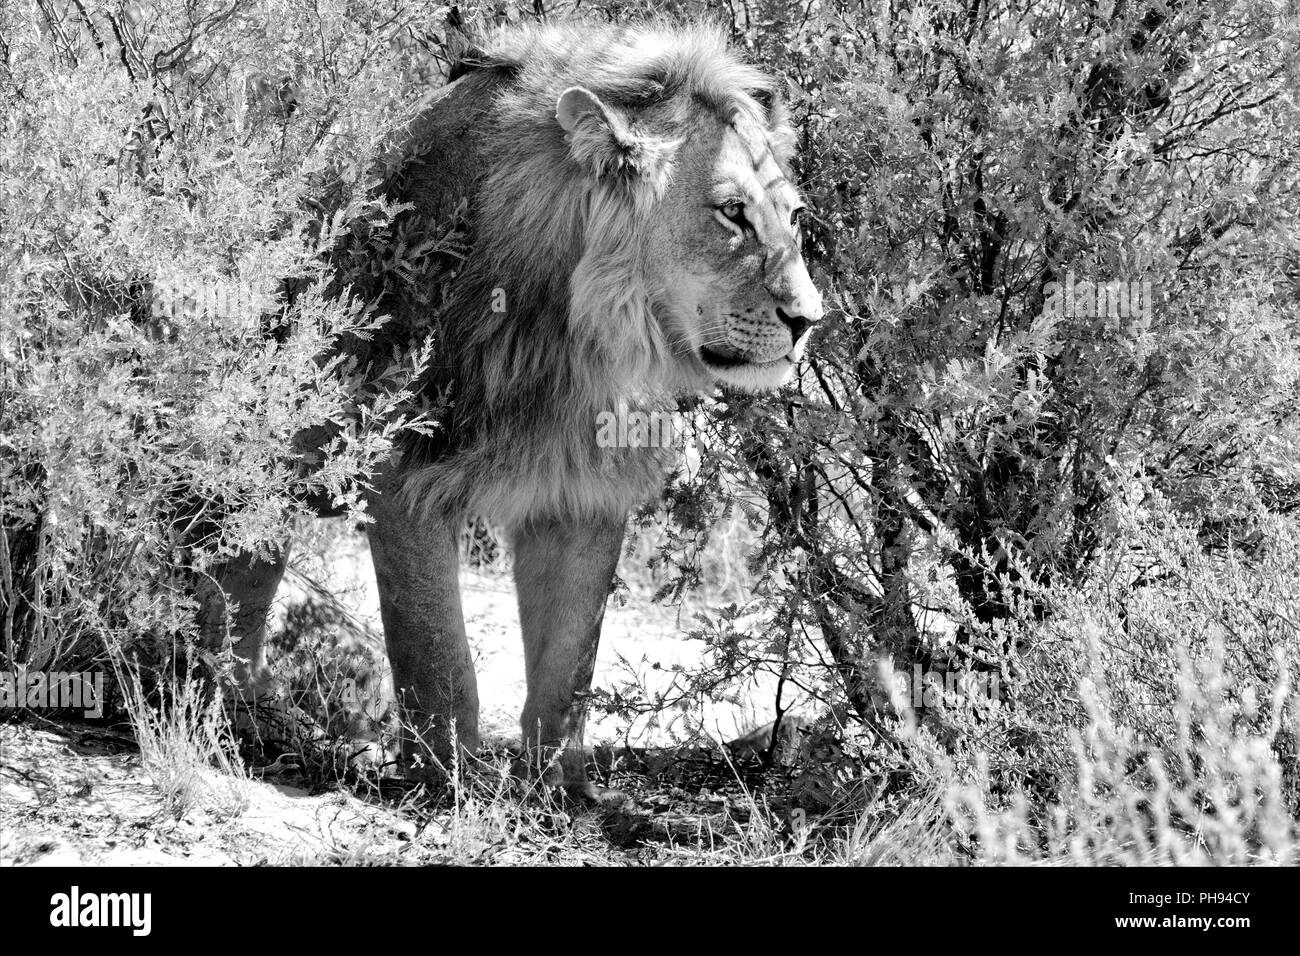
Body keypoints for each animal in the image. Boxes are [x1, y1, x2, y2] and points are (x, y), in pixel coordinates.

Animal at [196, 18, 821, 806]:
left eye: (793, 215)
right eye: (732, 213)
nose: (810, 319)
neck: (578, 338)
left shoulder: (588, 490)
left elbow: (569, 665)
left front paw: (563, 793)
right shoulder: (404, 472)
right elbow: (435, 654)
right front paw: (450, 784)